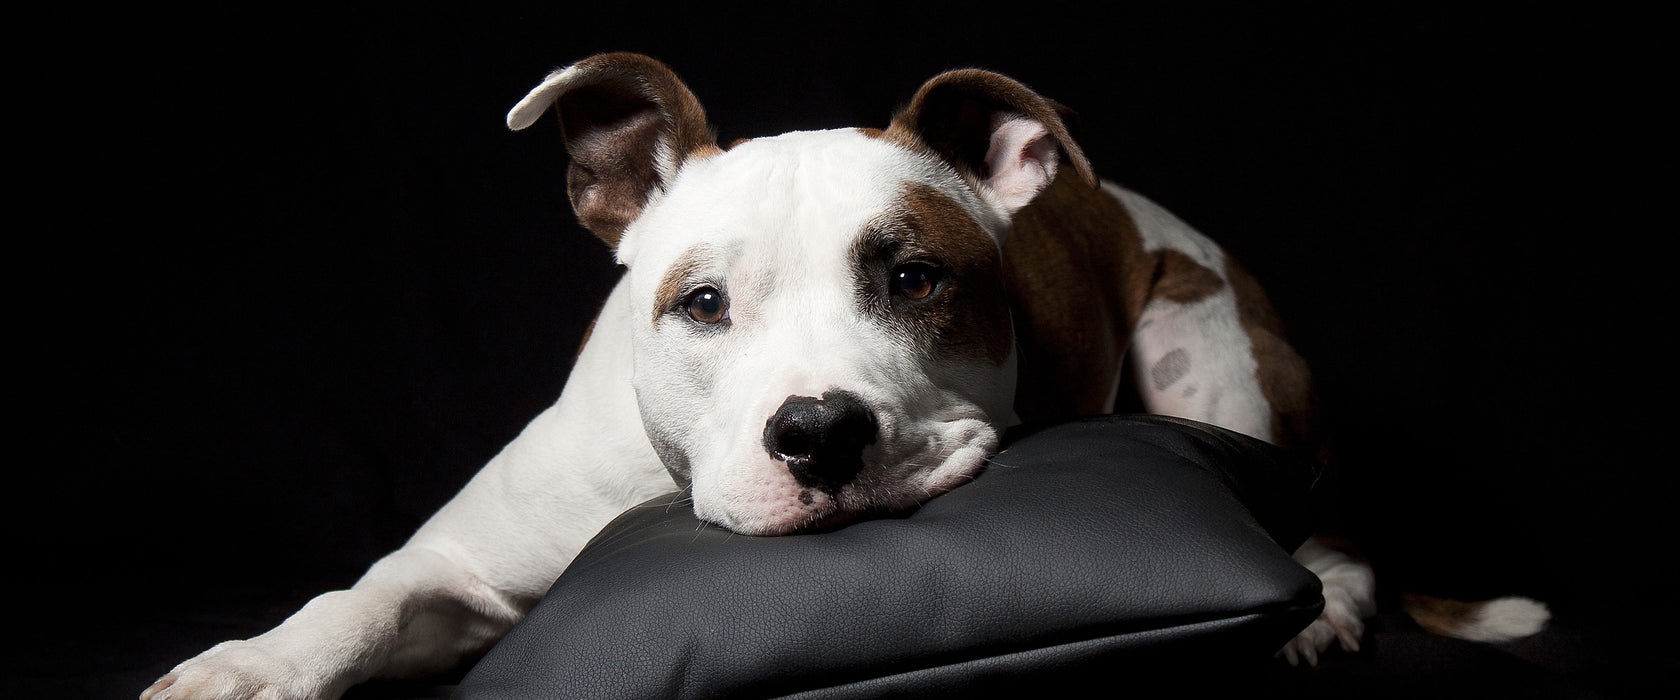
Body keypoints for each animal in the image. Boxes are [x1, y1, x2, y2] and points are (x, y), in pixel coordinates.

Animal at [144, 51, 1545, 694]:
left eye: (914, 278)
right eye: (701, 303)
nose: (818, 431)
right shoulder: (462, 561)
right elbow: (365, 596)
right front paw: (245, 664)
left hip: (1206, 350)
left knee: (1329, 533)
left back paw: (1320, 615)